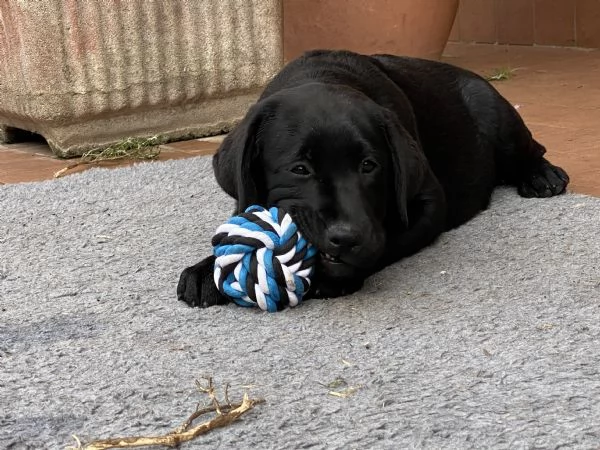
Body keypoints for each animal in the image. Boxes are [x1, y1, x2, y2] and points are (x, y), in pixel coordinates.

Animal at [177, 50, 568, 310]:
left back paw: (543, 176)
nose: (349, 237)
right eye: (300, 169)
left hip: (497, 119)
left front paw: (330, 277)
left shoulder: (429, 204)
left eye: (369, 166)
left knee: (533, 148)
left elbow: (387, 241)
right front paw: (205, 269)